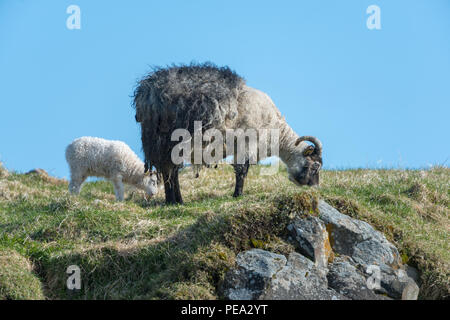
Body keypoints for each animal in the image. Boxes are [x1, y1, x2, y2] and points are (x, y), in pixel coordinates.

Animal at [134, 62, 324, 202]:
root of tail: (148, 92)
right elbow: (242, 170)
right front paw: (237, 195)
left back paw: (173, 201)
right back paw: (176, 201)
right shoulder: (247, 142)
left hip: (158, 142)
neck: (275, 130)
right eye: (315, 166)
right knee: (171, 171)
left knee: (168, 171)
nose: (315, 188)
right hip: (170, 140)